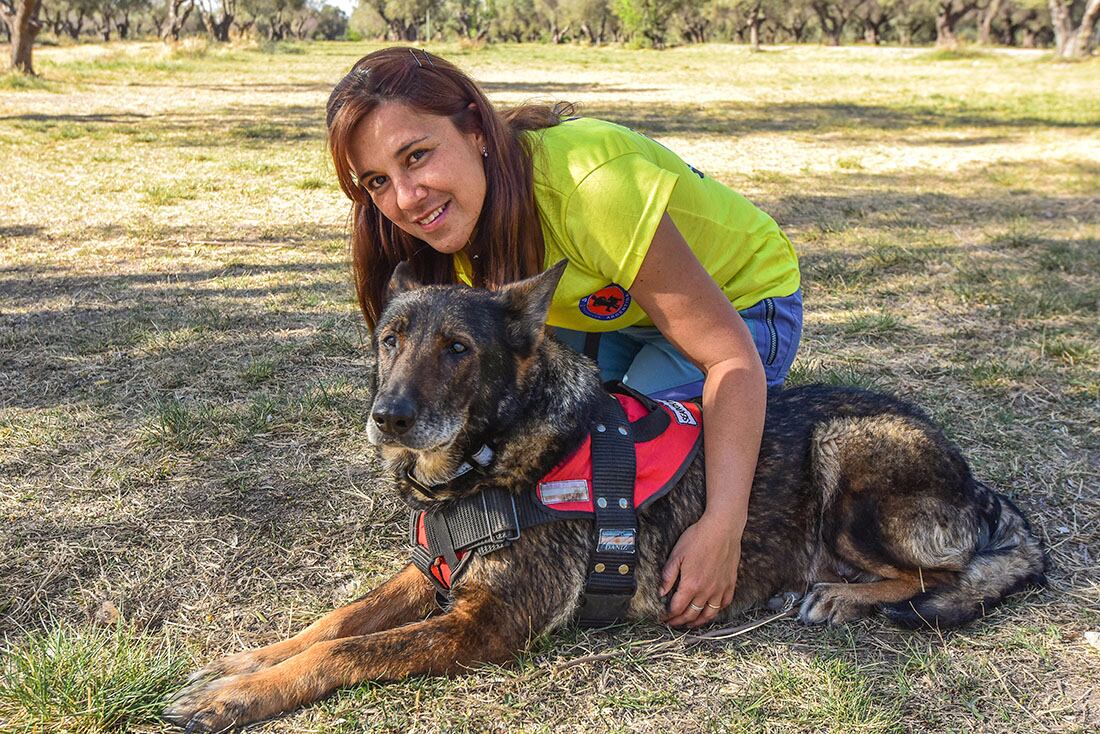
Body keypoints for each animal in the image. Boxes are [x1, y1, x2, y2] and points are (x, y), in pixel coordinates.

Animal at [165, 260, 1047, 730]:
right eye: (391, 340)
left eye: (457, 349)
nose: (389, 418)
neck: (498, 451)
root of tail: (978, 484)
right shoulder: (429, 576)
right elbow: (333, 622)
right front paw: (244, 664)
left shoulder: (482, 626)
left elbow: (348, 651)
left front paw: (238, 697)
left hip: (851, 455)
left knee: (938, 573)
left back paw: (838, 594)